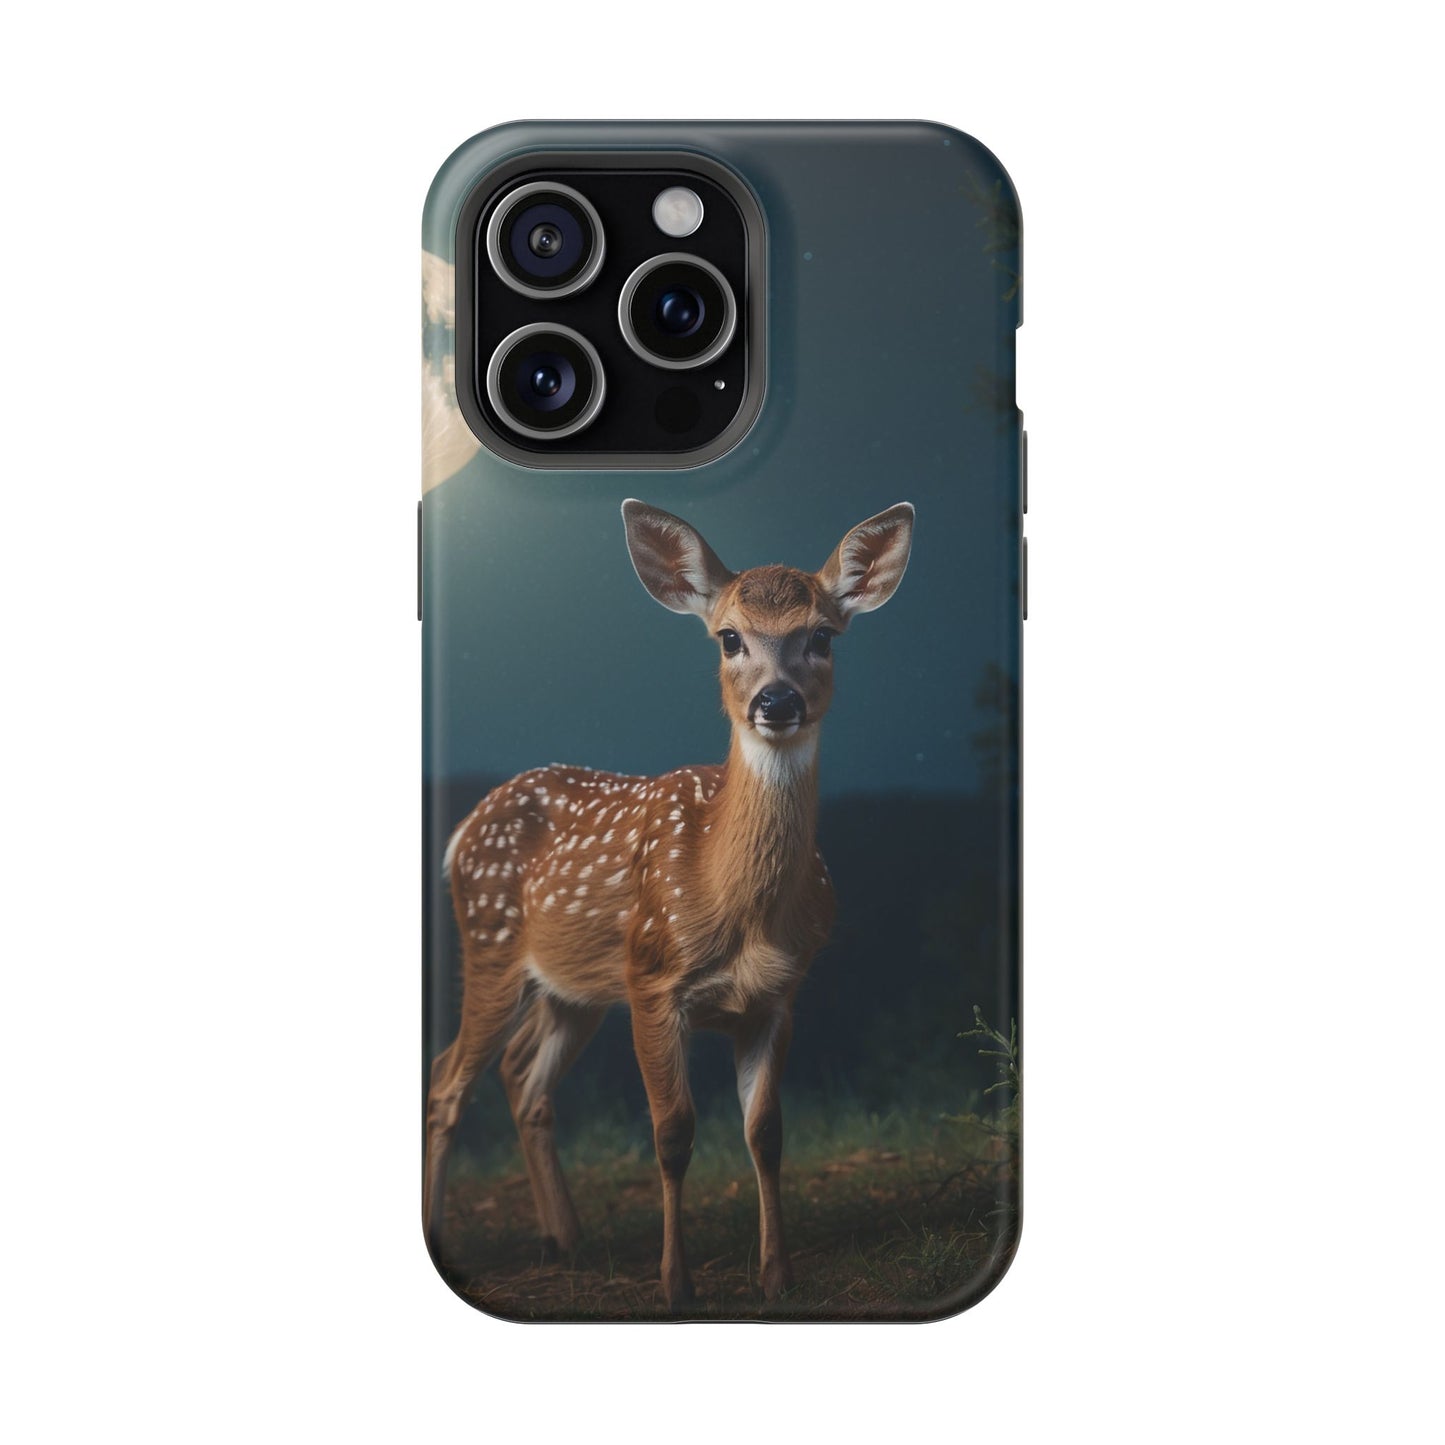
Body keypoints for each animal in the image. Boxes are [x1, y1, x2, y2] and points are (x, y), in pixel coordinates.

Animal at [424, 497, 914, 1309]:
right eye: (728, 637)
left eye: (821, 636)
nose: (775, 701)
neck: (736, 907)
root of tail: (464, 828)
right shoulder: (654, 981)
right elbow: (673, 1132)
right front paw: (675, 1283)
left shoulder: (778, 995)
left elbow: (765, 1132)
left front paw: (776, 1276)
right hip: (491, 944)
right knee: (448, 1078)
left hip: (576, 988)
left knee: (522, 1078)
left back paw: (566, 1239)